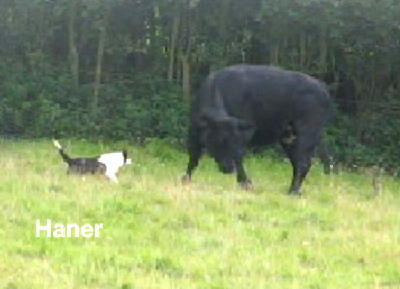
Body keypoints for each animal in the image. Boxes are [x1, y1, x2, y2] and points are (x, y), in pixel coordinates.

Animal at [181, 64, 332, 194]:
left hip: (307, 133)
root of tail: (321, 87)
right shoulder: (193, 133)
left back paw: (293, 192)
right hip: (289, 137)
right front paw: (185, 180)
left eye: (233, 141)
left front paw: (245, 183)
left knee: (303, 162)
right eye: (218, 141)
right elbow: (193, 158)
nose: (228, 168)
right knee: (297, 162)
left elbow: (238, 157)